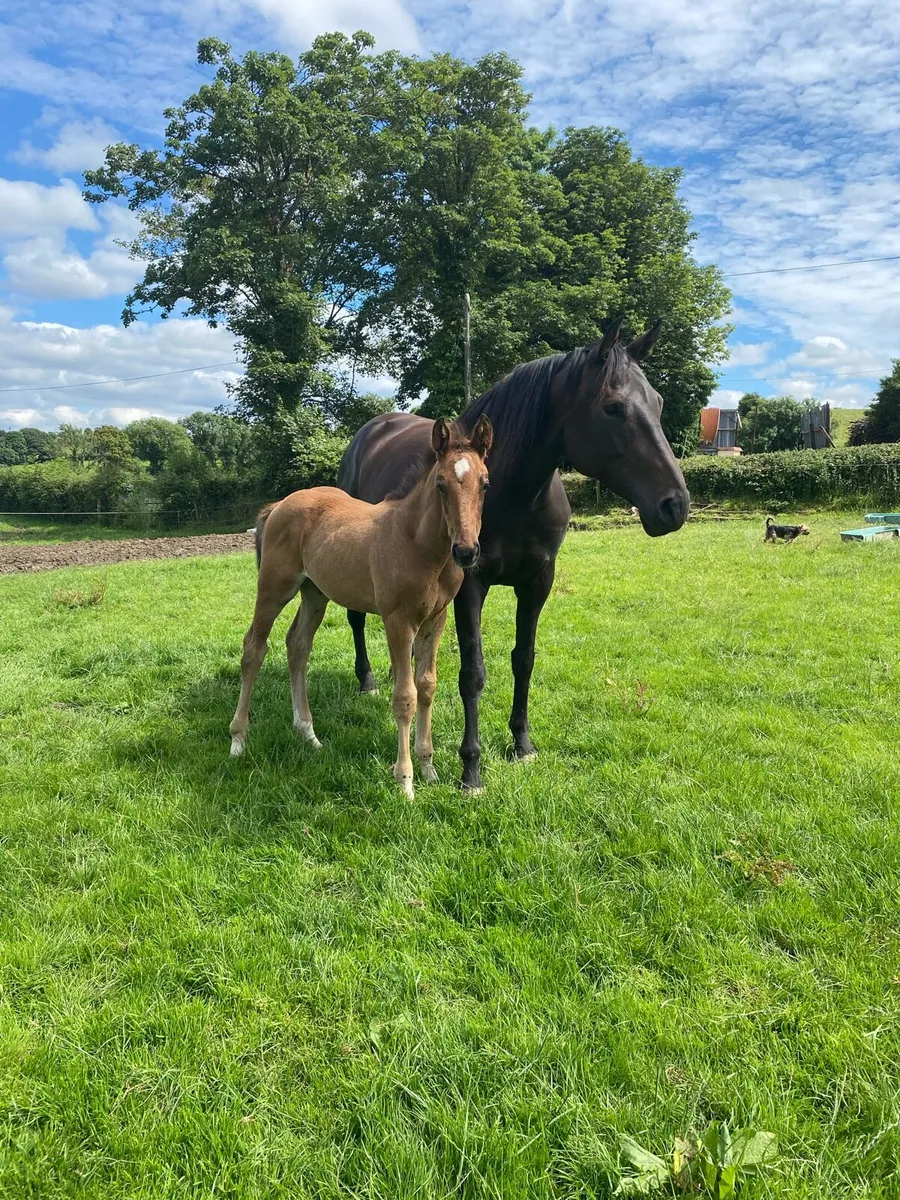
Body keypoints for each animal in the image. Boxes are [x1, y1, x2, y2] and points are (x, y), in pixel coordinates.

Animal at [229, 415, 493, 799]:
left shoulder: (436, 619)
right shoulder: (398, 621)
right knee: (254, 648)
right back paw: (238, 740)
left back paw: (309, 734)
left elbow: (427, 686)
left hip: (315, 593)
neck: (418, 544)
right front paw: (405, 782)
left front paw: (428, 769)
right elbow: (405, 696)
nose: (466, 551)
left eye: (485, 484)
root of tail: (277, 506)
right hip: (274, 588)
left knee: (298, 646)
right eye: (441, 485)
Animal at [337, 318, 690, 792]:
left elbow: (524, 660)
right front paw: (471, 768)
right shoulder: (471, 585)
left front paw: (522, 744)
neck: (513, 492)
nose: (675, 505)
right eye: (613, 407)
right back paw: (369, 680)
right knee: (357, 619)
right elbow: (473, 674)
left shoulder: (538, 581)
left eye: (658, 403)